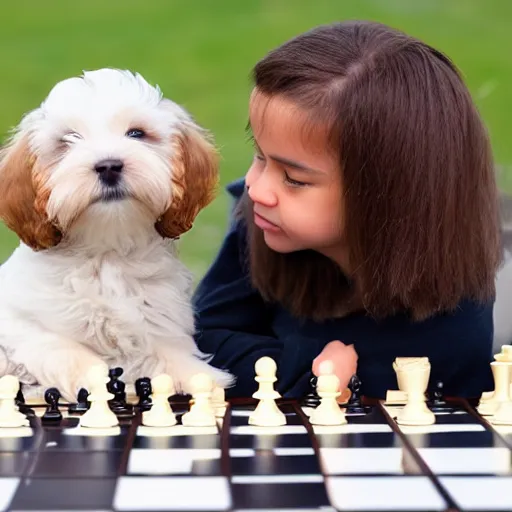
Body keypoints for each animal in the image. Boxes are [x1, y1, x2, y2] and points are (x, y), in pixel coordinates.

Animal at [0, 68, 234, 402]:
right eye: (67, 141)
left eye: (136, 134)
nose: (109, 166)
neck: (107, 248)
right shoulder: (18, 323)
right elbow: (67, 351)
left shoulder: (159, 318)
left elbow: (168, 350)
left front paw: (196, 376)